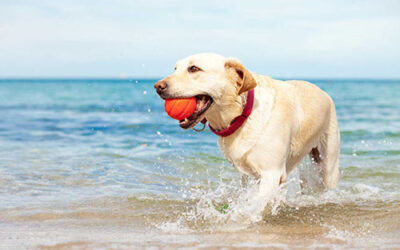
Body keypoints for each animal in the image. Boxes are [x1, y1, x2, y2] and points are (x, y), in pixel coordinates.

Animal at [155, 53, 340, 198]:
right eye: (175, 69)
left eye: (194, 69)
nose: (158, 86)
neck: (242, 114)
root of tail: (323, 91)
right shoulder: (248, 175)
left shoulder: (272, 173)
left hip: (328, 165)